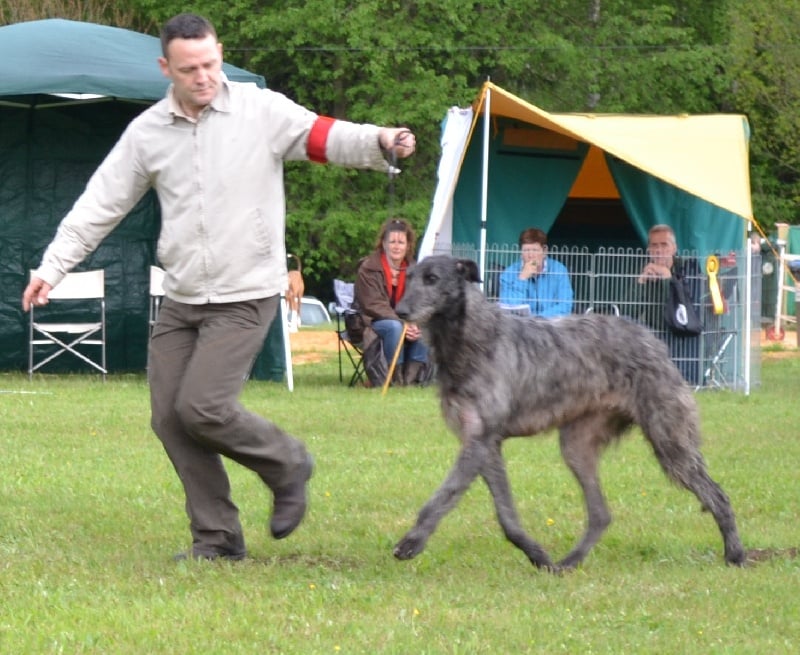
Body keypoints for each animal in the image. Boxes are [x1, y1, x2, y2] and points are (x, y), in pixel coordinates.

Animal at [393, 255, 745, 570]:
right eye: (408, 277)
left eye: (433, 279)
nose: (400, 311)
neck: (470, 335)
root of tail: (655, 342)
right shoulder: (484, 443)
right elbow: (507, 516)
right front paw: (537, 555)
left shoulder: (480, 440)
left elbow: (444, 495)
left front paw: (412, 541)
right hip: (578, 444)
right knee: (601, 514)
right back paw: (569, 563)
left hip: (669, 438)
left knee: (718, 495)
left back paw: (736, 555)